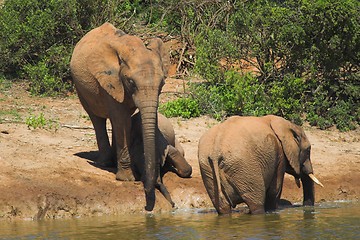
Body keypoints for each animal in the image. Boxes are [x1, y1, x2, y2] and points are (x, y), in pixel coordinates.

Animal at [71, 22, 170, 210]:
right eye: (131, 82)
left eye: (162, 83)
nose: (146, 206)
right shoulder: (111, 81)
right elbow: (121, 119)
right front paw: (128, 179)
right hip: (81, 88)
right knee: (98, 119)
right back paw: (105, 163)